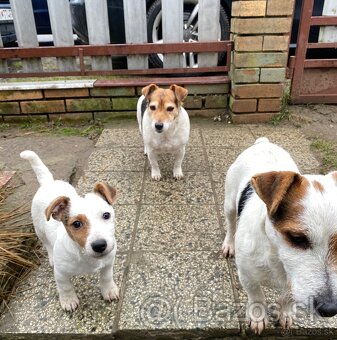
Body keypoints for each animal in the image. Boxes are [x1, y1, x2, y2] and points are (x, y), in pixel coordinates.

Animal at [20, 150, 118, 312]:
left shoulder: (108, 262)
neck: (84, 255)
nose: (99, 245)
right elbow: (65, 287)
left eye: (106, 215)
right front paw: (68, 300)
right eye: (76, 224)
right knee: (47, 244)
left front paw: (109, 290)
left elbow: (106, 277)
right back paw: (51, 257)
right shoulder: (61, 273)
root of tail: (49, 182)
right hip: (39, 230)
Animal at [222, 138, 336, 334]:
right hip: (229, 203)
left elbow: (288, 297)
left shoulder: (294, 283)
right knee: (230, 224)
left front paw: (286, 313)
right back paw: (229, 244)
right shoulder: (246, 274)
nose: (330, 309)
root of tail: (263, 142)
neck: (276, 255)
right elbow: (256, 296)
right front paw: (258, 317)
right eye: (297, 238)